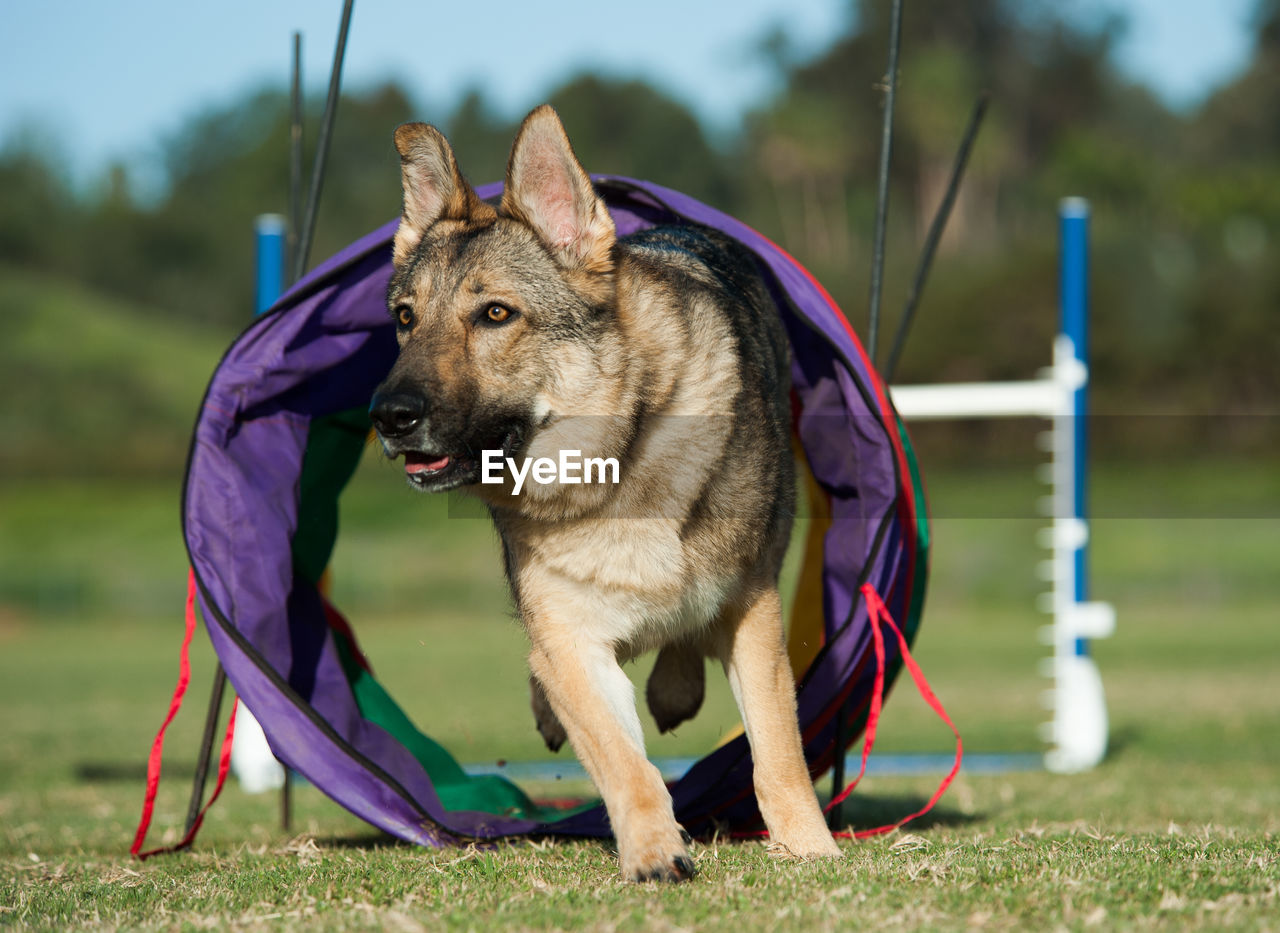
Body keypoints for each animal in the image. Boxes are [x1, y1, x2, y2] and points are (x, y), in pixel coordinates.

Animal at [371, 105, 839, 875]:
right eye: (406, 319)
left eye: (496, 314)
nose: (389, 416)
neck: (613, 463)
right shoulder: (572, 640)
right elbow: (624, 762)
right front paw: (653, 851)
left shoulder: (754, 607)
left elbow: (778, 751)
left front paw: (810, 846)